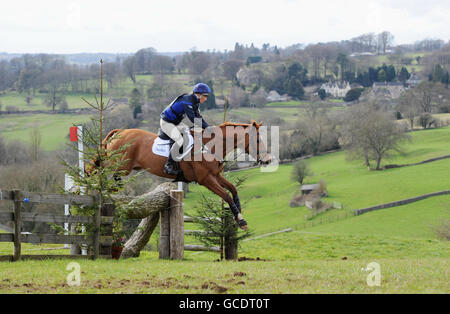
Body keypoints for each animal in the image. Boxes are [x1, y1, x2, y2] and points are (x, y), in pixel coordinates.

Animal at [88, 121, 270, 229]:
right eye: (258, 140)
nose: (267, 160)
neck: (211, 146)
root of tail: (120, 131)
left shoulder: (216, 176)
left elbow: (233, 190)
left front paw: (238, 215)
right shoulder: (206, 180)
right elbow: (226, 195)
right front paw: (240, 219)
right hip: (119, 166)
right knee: (100, 171)